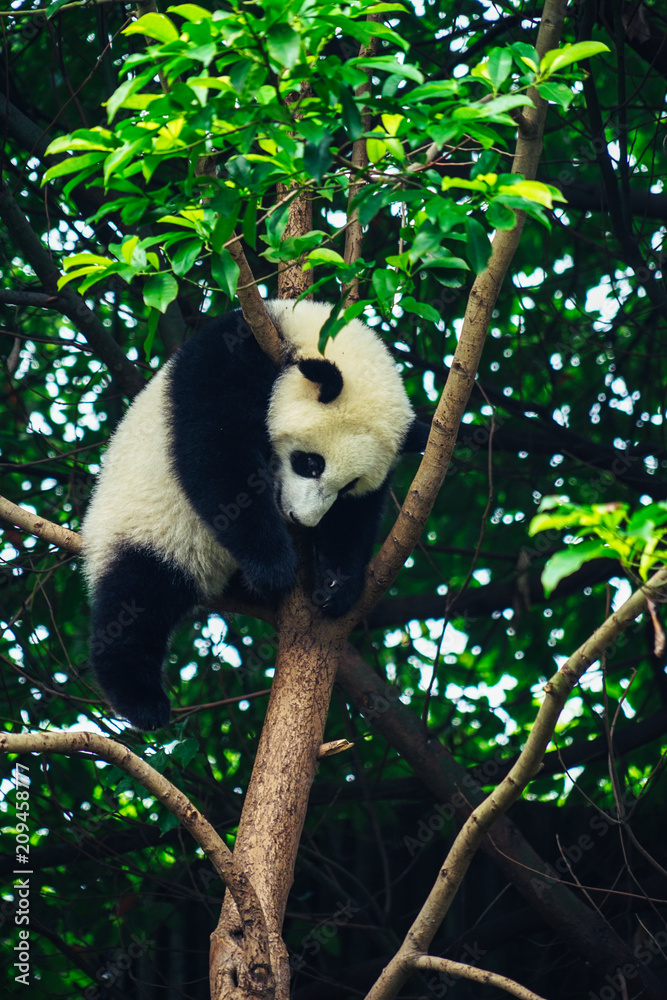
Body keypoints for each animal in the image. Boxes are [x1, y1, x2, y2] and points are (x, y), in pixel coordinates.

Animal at [82, 299, 427, 730]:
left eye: (347, 485)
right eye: (310, 463)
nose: (302, 520)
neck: (299, 330)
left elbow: (355, 519)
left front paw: (335, 586)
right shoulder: (227, 358)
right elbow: (218, 453)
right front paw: (274, 568)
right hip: (146, 527)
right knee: (136, 599)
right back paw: (142, 700)